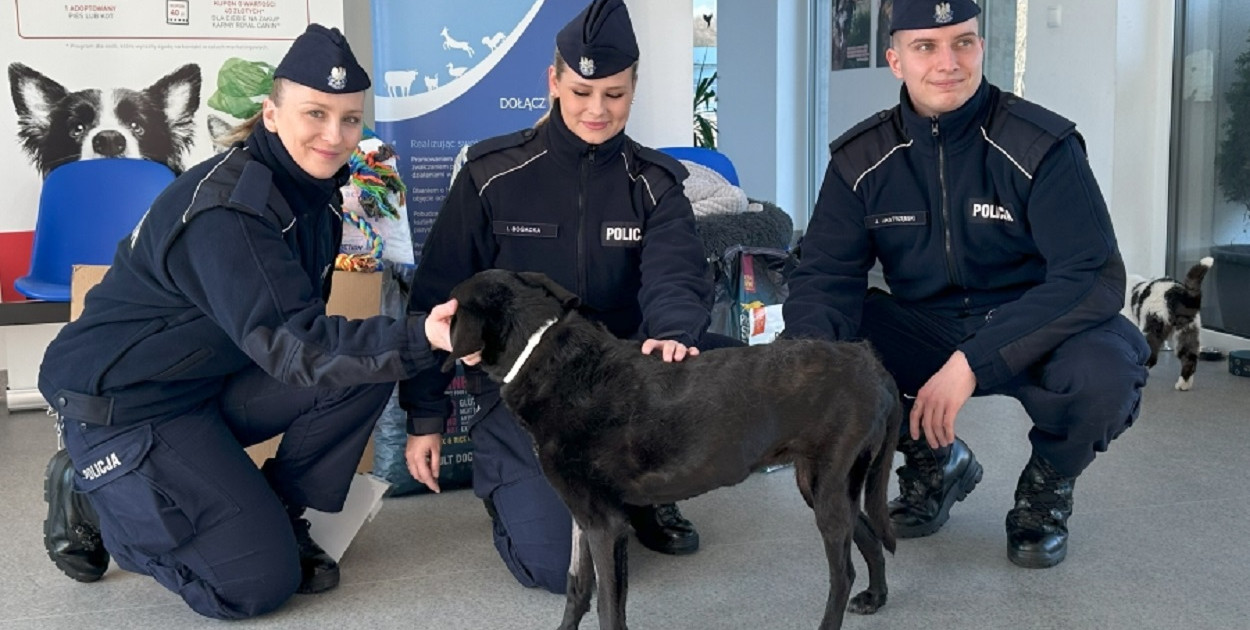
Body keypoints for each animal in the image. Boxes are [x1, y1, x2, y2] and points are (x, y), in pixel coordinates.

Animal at [1130, 256, 1215, 390]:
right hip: (1187, 331)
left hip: (1152, 326)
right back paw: (1183, 385)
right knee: (1189, 358)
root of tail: (1181, 294)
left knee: (1151, 356)